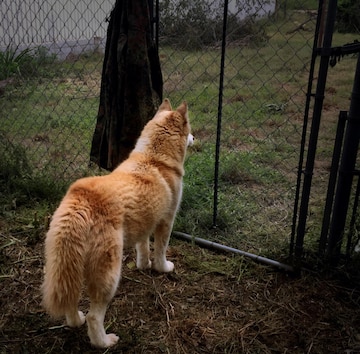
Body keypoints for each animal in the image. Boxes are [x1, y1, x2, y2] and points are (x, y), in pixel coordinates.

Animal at [41, 98, 194, 348]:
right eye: (189, 128)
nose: (195, 138)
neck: (155, 158)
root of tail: (82, 202)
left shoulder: (145, 223)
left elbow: (143, 249)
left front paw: (144, 265)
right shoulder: (166, 222)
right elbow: (160, 251)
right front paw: (162, 268)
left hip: (68, 267)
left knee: (72, 301)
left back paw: (75, 321)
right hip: (109, 276)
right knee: (94, 317)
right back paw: (104, 342)